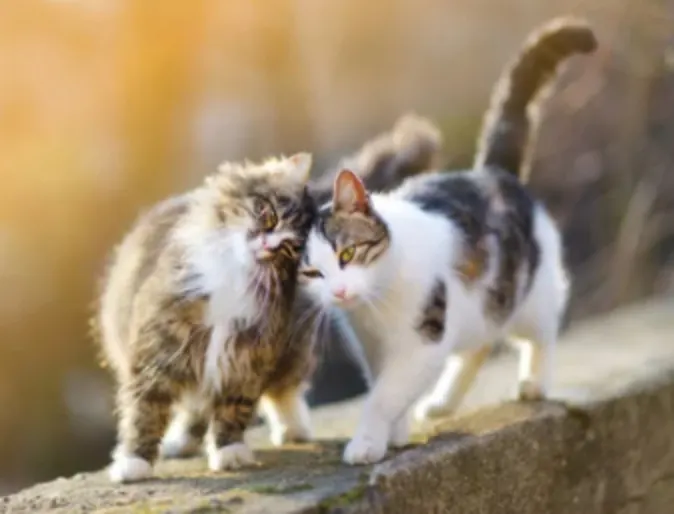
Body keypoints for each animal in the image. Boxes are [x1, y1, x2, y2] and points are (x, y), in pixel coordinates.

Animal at [95, 153, 322, 480]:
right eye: (268, 215)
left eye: (289, 249)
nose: (267, 245)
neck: (235, 273)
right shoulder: (161, 350)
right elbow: (145, 412)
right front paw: (133, 463)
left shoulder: (246, 356)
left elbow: (233, 410)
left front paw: (230, 453)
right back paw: (179, 443)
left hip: (293, 349)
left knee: (284, 391)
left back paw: (293, 429)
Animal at [298, 17, 592, 464]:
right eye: (312, 272)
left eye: (347, 253)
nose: (340, 291)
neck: (377, 305)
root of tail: (491, 172)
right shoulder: (374, 348)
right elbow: (385, 387)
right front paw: (395, 432)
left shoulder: (424, 341)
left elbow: (384, 395)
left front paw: (367, 441)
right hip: (478, 306)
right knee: (478, 346)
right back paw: (443, 402)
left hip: (528, 294)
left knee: (541, 332)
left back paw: (534, 382)